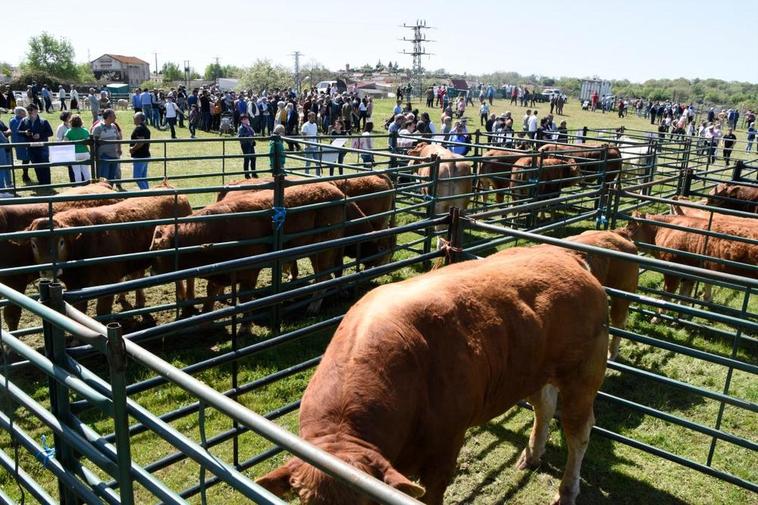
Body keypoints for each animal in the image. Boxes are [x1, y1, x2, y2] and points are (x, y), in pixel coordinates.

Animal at [258, 247, 608, 504]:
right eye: (306, 502)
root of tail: (568, 257)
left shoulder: (444, 450)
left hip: (583, 374)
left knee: (579, 431)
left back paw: (567, 491)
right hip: (536, 369)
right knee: (544, 406)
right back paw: (532, 455)